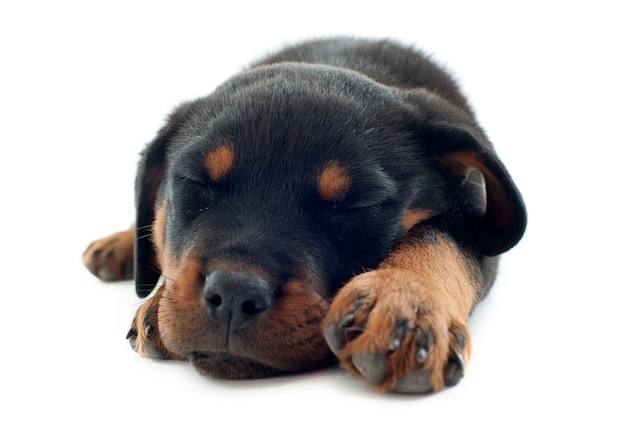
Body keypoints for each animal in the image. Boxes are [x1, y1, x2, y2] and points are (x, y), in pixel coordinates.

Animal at [81, 38, 520, 392]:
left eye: (355, 205)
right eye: (195, 183)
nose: (235, 294)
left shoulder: (478, 220)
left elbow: (440, 239)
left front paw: (405, 301)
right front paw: (157, 298)